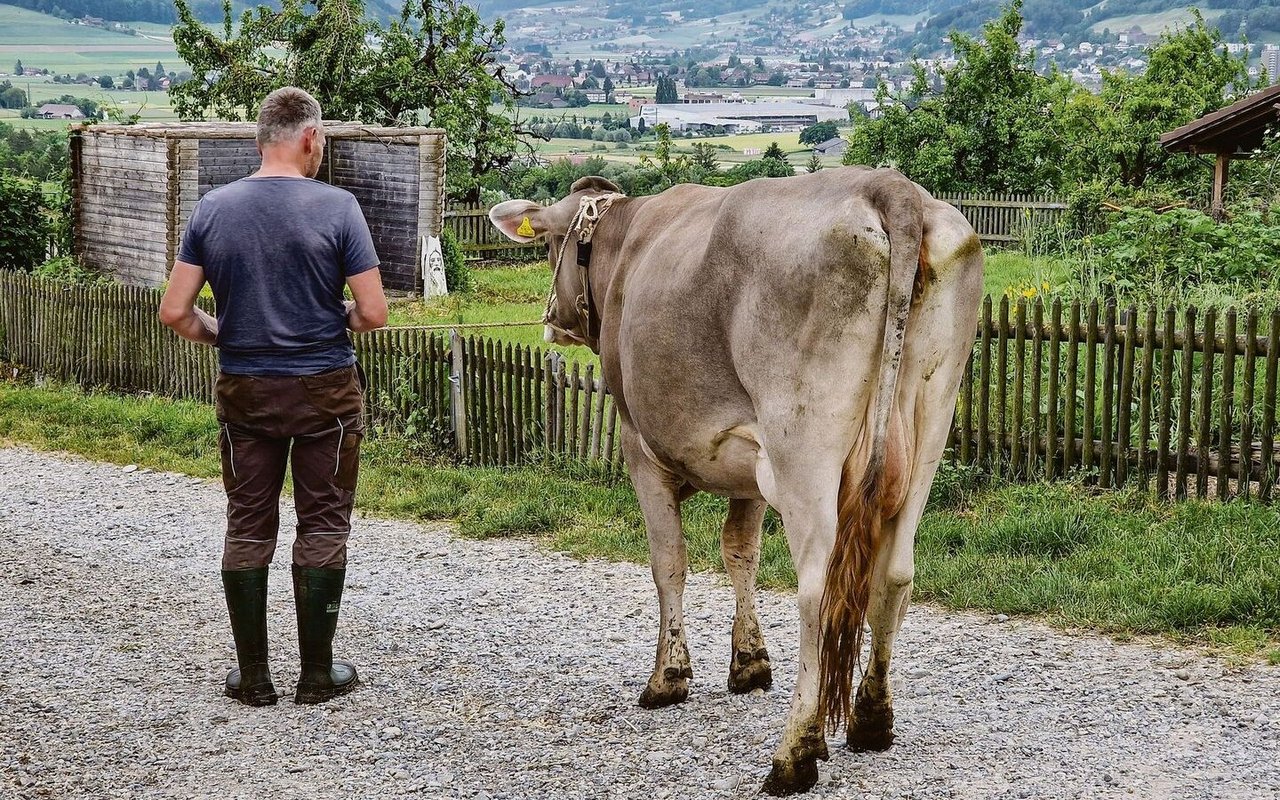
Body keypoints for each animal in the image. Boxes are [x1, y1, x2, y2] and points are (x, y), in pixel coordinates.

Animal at [488, 168, 977, 793]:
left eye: (551, 243)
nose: (551, 321)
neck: (625, 245)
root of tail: (891, 188)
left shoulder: (639, 447)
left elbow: (669, 562)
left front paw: (668, 677)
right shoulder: (749, 470)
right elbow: (740, 552)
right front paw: (749, 663)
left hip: (804, 447)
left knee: (816, 589)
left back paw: (796, 750)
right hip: (928, 430)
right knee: (894, 574)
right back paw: (872, 719)